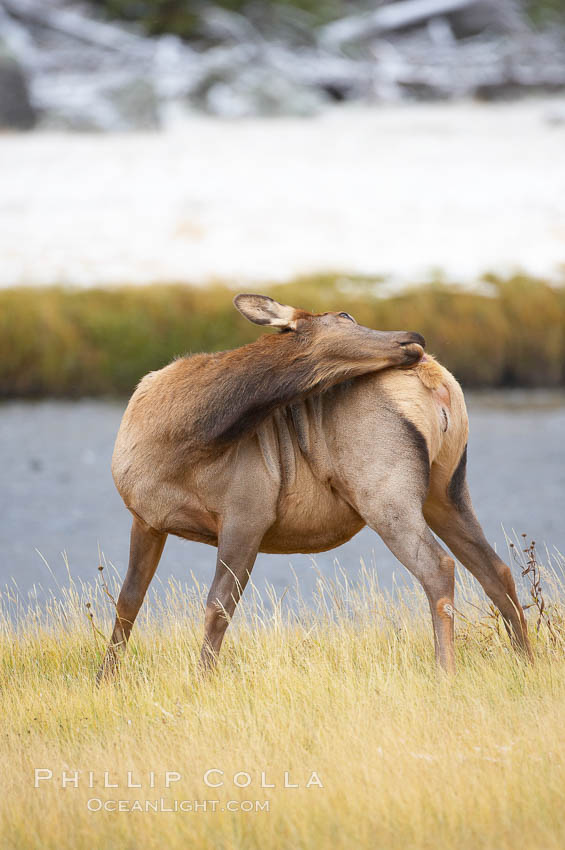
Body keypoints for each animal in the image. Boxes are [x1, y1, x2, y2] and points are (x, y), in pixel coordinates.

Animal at [96, 290, 528, 676]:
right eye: (345, 315)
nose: (414, 337)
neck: (179, 442)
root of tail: (438, 382)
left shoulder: (247, 513)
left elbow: (218, 607)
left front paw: (202, 679)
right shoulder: (146, 518)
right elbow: (128, 601)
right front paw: (105, 678)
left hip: (385, 493)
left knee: (439, 567)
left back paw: (445, 671)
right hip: (447, 490)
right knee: (496, 570)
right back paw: (527, 660)